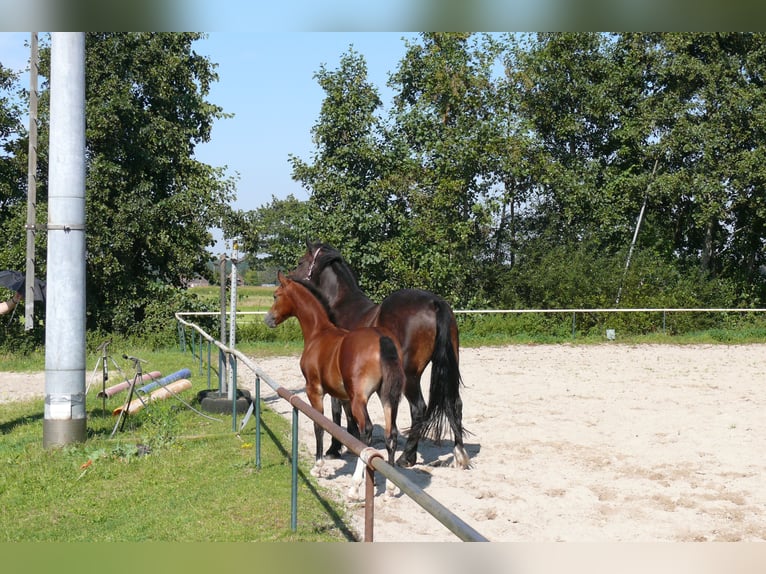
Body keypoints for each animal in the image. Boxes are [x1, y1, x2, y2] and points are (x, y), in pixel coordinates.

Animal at [266, 272, 408, 500]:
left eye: (275, 295)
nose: (268, 319)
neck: (318, 333)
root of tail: (381, 339)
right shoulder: (343, 397)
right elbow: (343, 426)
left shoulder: (314, 390)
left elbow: (320, 424)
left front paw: (318, 466)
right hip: (387, 398)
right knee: (391, 433)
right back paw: (391, 487)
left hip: (360, 400)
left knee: (367, 431)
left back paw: (355, 486)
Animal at [286, 241, 468, 470]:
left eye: (301, 262)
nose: (289, 278)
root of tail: (435, 302)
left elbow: (337, 410)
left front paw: (335, 447)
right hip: (449, 367)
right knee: (455, 404)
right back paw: (460, 453)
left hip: (410, 377)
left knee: (418, 409)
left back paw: (407, 457)